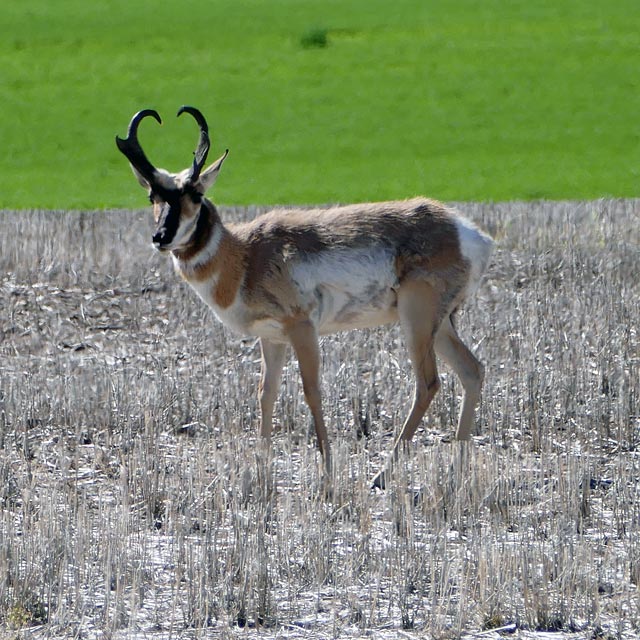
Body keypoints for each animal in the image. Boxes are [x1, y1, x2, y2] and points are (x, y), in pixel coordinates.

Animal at [116, 107, 496, 488]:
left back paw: (381, 475)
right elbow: (265, 394)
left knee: (428, 383)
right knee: (471, 371)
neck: (246, 254)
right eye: (152, 197)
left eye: (194, 195)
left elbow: (311, 391)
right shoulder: (271, 338)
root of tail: (466, 232)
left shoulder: (302, 328)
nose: (161, 237)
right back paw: (458, 470)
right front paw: (261, 469)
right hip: (440, 324)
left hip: (416, 319)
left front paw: (327, 470)